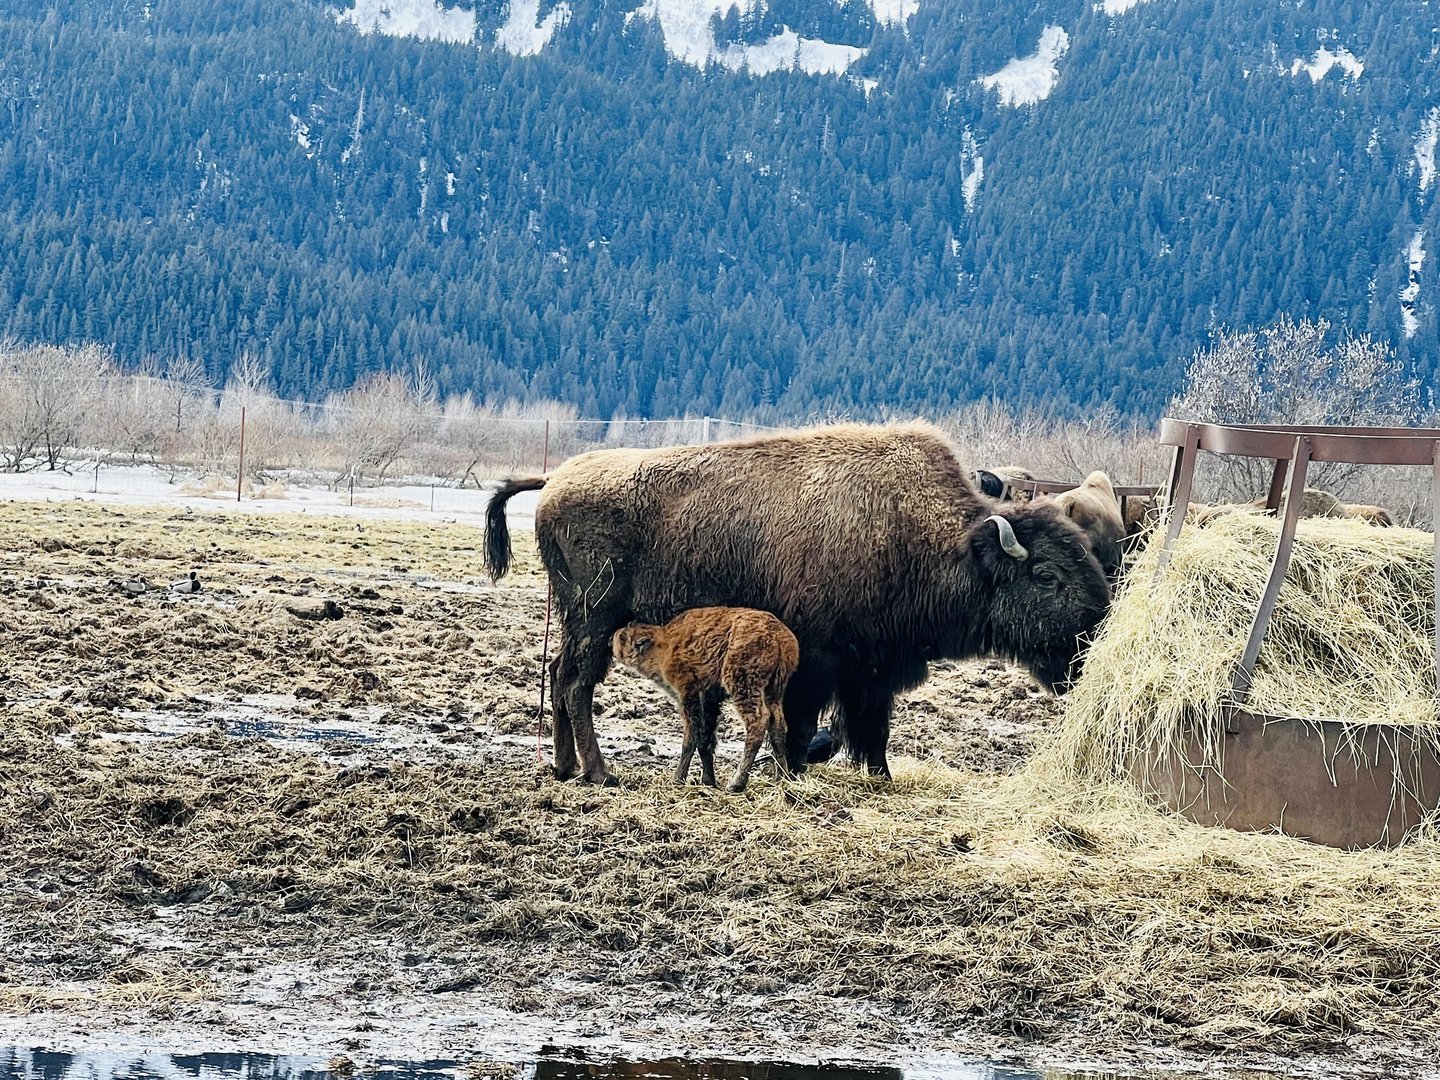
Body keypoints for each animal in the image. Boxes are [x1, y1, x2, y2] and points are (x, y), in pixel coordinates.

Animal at [611, 607, 798, 793]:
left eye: (624, 638)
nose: (613, 637)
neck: (664, 644)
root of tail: (779, 637)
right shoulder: (709, 699)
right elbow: (705, 738)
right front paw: (708, 781)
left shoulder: (688, 694)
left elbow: (691, 736)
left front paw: (678, 779)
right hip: (774, 691)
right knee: (777, 725)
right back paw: (781, 777)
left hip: (743, 685)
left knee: (758, 723)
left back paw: (736, 783)